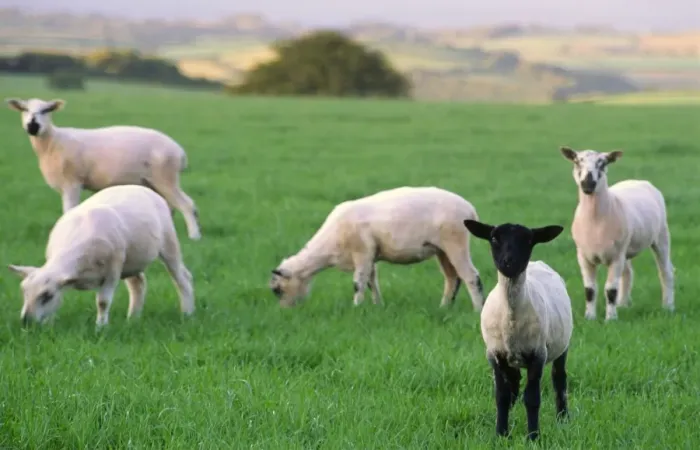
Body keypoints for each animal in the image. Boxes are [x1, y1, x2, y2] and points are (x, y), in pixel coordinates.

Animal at [5, 97, 201, 240]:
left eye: (47, 110)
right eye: (24, 109)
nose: (33, 126)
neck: (53, 141)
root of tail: (179, 152)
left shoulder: (72, 182)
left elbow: (69, 211)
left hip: (166, 177)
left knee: (187, 205)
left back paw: (194, 236)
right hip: (154, 181)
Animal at [7, 184, 195, 327]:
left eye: (47, 296)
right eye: (24, 292)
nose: (26, 321)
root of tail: (136, 186)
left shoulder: (112, 271)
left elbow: (103, 302)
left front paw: (100, 328)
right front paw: (49, 324)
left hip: (168, 243)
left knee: (182, 277)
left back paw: (187, 313)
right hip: (130, 261)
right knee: (138, 284)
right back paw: (133, 318)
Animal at [269, 186, 486, 310]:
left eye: (277, 290)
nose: (284, 311)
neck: (328, 247)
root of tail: (470, 209)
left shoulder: (362, 252)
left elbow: (358, 283)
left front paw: (356, 307)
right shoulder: (370, 256)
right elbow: (372, 282)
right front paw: (377, 305)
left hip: (455, 241)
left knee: (470, 276)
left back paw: (478, 309)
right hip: (442, 250)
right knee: (452, 278)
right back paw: (444, 307)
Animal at [463, 219, 572, 441]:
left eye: (529, 240)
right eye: (494, 238)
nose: (509, 262)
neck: (511, 318)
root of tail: (537, 264)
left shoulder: (538, 354)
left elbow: (532, 398)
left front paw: (533, 436)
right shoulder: (494, 354)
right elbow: (502, 396)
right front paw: (501, 434)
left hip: (561, 347)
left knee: (559, 380)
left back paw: (563, 419)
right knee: (514, 385)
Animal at [560, 146, 674, 321]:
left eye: (603, 163)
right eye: (577, 161)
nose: (588, 184)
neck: (595, 221)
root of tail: (637, 180)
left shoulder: (616, 257)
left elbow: (610, 290)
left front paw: (611, 319)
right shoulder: (583, 256)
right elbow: (589, 290)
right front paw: (590, 318)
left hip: (661, 236)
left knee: (665, 271)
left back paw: (668, 306)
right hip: (625, 249)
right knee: (628, 273)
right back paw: (623, 304)